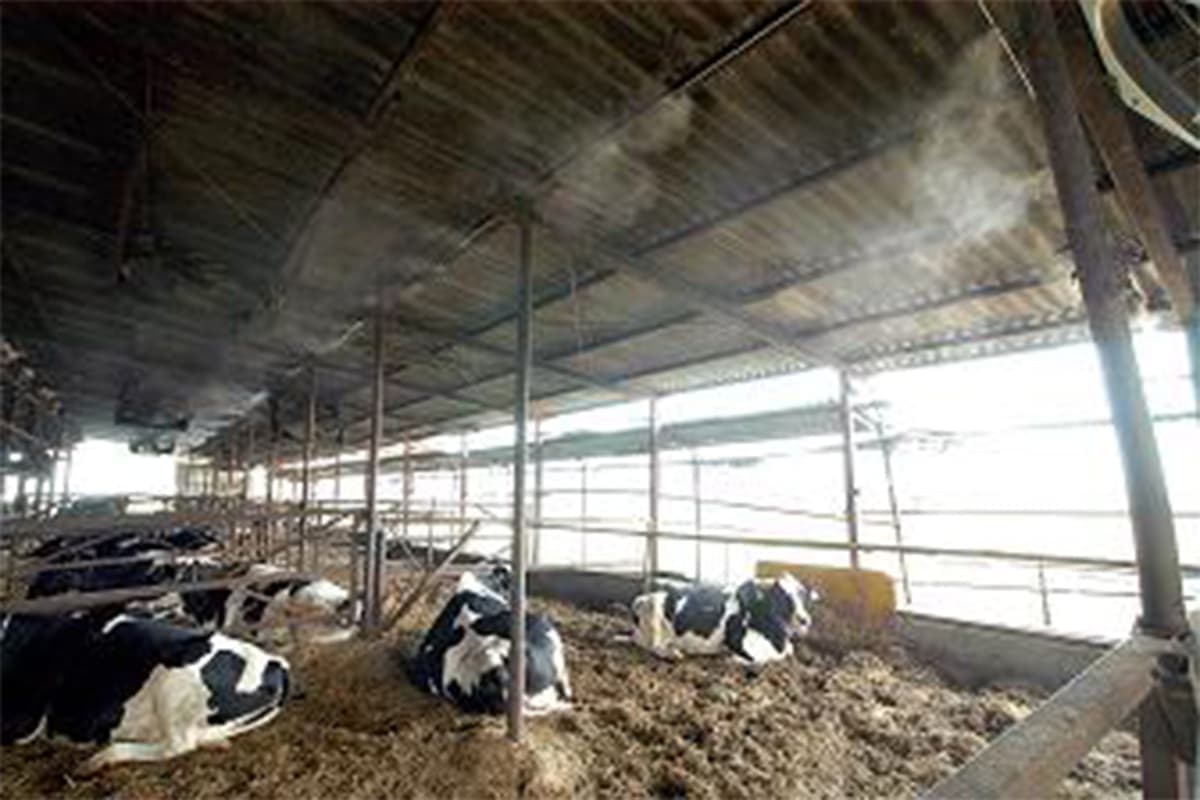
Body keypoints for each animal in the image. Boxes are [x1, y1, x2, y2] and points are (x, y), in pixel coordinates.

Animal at [627, 572, 817, 665]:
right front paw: (730, 659)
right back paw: (672, 653)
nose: (805, 620)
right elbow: (760, 659)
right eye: (781, 597)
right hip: (653, 612)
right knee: (653, 646)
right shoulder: (737, 641)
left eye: (802, 595)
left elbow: (789, 651)